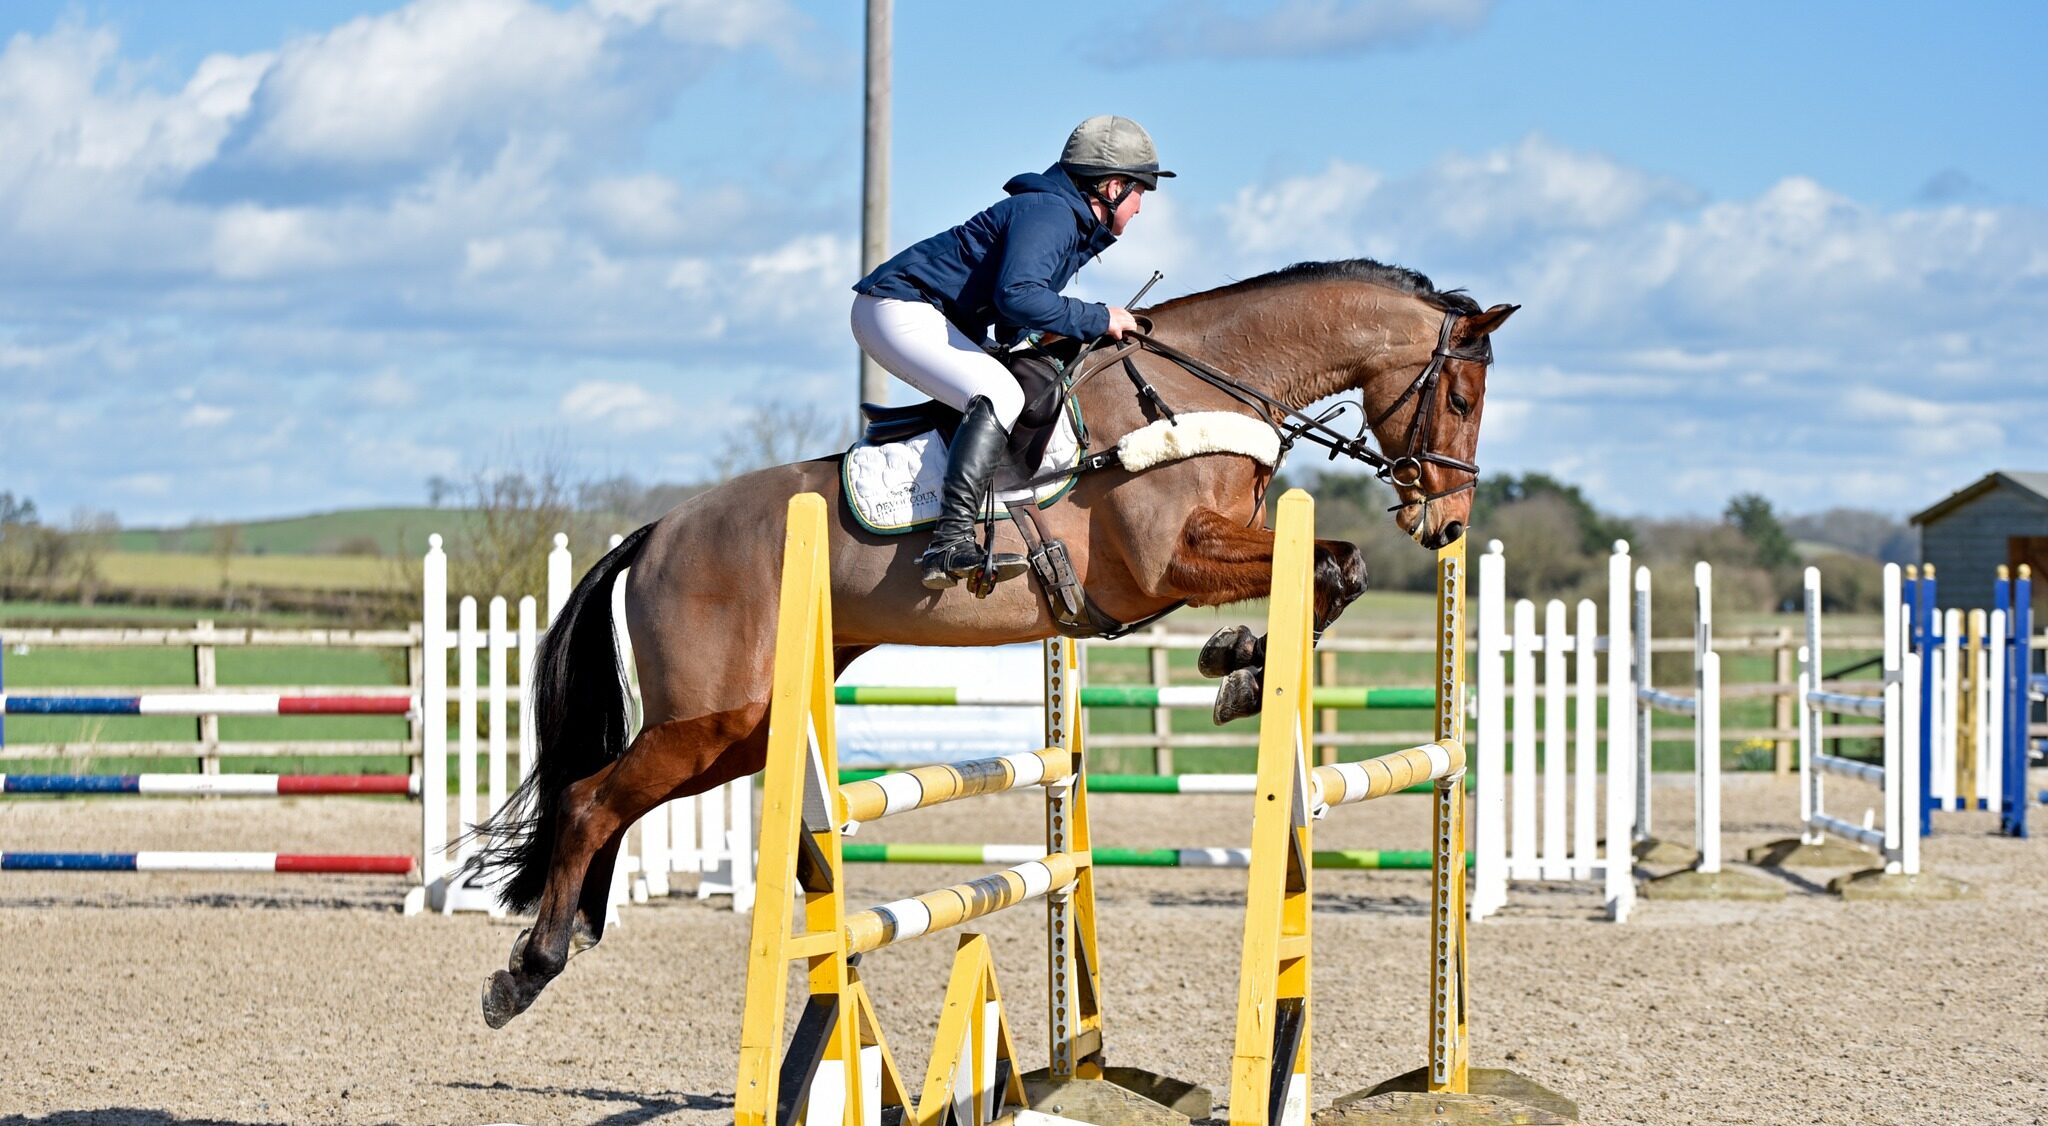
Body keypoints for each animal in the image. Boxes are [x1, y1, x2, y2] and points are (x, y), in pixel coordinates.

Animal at [471, 257, 1515, 1031]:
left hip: (745, 724)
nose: (1449, 523)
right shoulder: (1170, 561)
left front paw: (1235, 666)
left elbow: (1337, 573)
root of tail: (657, 533)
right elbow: (1335, 569)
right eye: (1462, 399)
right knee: (589, 798)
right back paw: (529, 968)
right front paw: (1237, 669)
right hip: (711, 716)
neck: (1194, 387)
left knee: (612, 802)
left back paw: (574, 934)